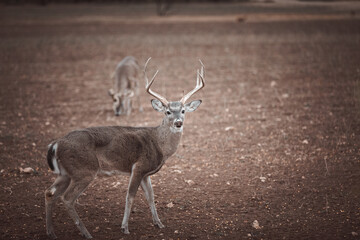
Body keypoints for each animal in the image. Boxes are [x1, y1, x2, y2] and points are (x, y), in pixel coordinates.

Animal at [44, 57, 205, 238]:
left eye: (183, 111)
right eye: (168, 112)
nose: (178, 123)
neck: (158, 143)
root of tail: (56, 144)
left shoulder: (146, 174)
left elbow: (151, 196)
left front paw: (159, 223)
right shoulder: (138, 167)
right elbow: (130, 197)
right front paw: (125, 227)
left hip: (65, 173)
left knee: (49, 192)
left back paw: (51, 232)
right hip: (84, 170)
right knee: (67, 198)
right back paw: (86, 233)